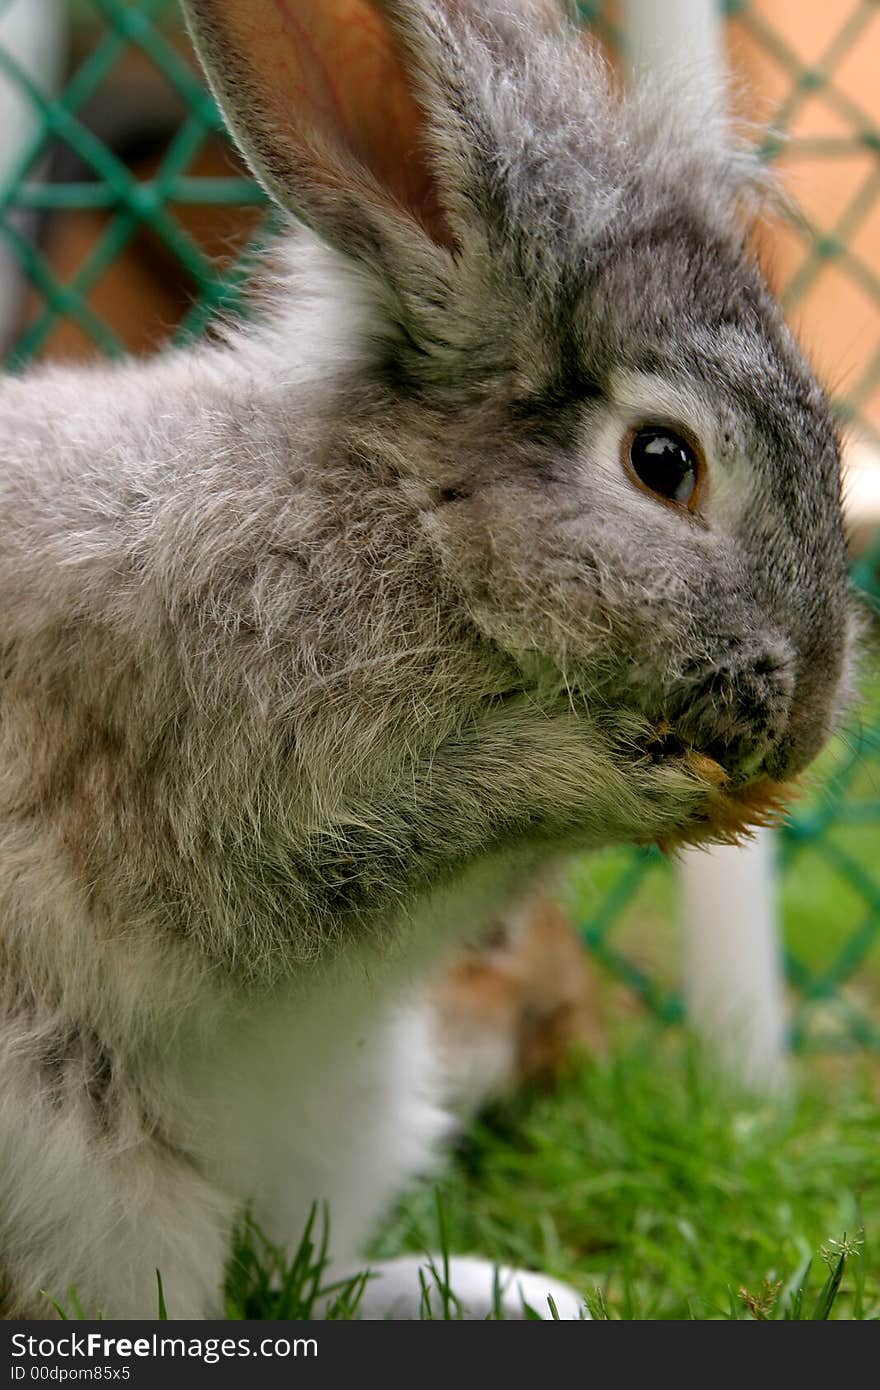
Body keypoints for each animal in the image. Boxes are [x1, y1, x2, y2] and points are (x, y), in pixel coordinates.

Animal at [0, 0, 856, 1317]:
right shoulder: (248, 786)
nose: (805, 716)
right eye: (663, 462)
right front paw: (632, 782)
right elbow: (435, 814)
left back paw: (515, 1295)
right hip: (82, 1176)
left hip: (356, 1108)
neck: (419, 522)